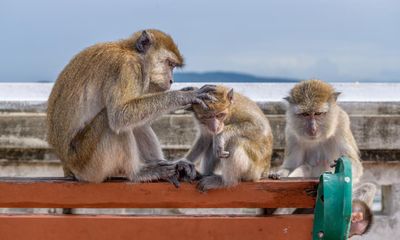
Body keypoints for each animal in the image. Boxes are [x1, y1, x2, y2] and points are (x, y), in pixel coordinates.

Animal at [47, 29, 217, 184]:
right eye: (169, 64)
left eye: (173, 66)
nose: (171, 80)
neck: (133, 53)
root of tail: (67, 166)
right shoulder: (127, 68)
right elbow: (121, 114)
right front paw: (185, 95)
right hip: (86, 164)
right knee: (110, 122)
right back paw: (137, 173)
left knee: (136, 124)